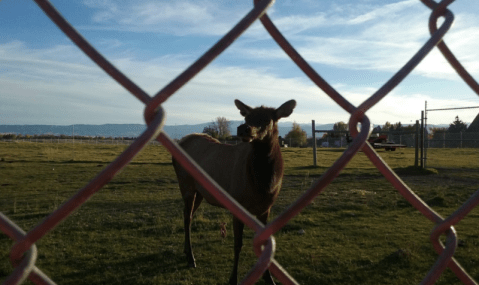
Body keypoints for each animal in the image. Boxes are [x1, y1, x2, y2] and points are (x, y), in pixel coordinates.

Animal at [173, 98, 296, 282]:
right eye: (247, 117)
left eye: (268, 119)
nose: (243, 128)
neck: (264, 185)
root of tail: (180, 142)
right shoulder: (238, 203)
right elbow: (237, 244)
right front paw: (233, 278)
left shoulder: (266, 208)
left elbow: (265, 244)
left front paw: (269, 279)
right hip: (186, 184)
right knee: (187, 217)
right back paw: (191, 258)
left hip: (200, 191)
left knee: (188, 214)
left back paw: (186, 251)